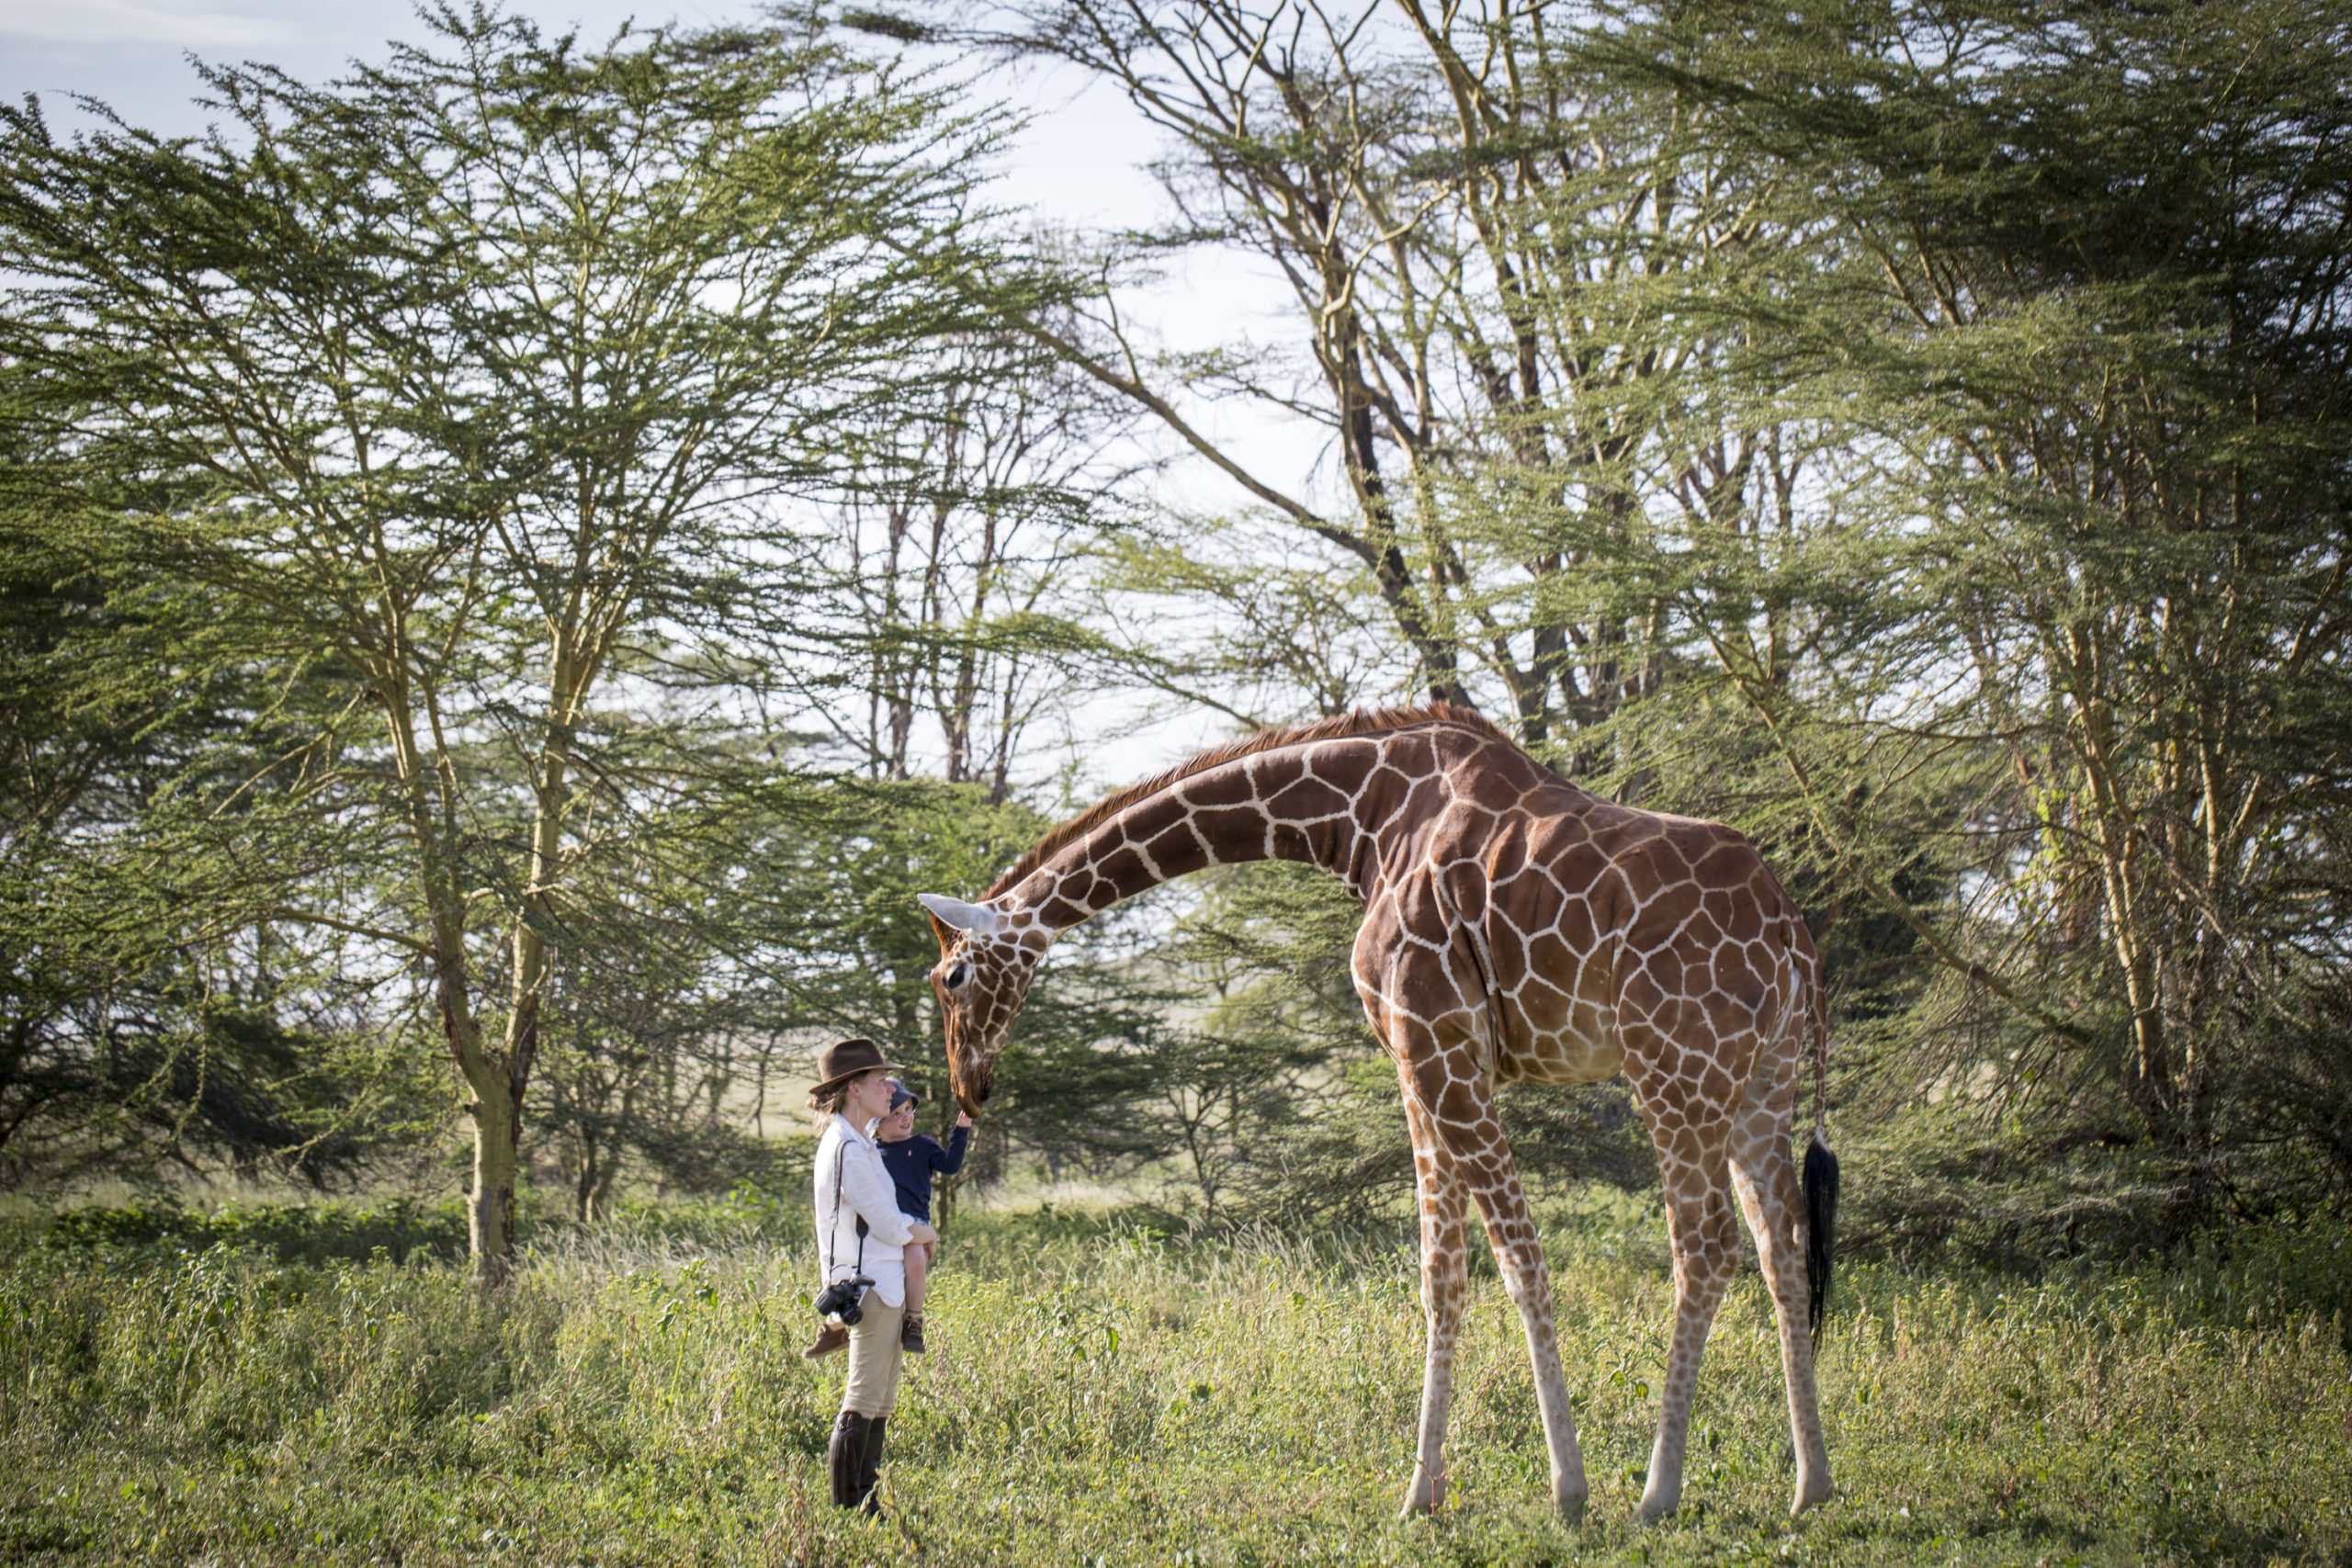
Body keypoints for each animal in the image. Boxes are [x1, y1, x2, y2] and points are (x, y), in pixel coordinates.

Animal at [918, 704, 1837, 1522]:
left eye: (951, 977)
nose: (970, 1086)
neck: (1363, 816)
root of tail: (1793, 933)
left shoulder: (1434, 1041)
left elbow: (1519, 1258)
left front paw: (1568, 1490)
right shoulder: (1421, 1058)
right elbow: (1442, 1272)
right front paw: (1422, 1494)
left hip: (1675, 1065)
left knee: (1704, 1246)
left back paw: (1658, 1492)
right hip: (1764, 1079)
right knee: (1782, 1243)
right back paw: (1811, 1486)